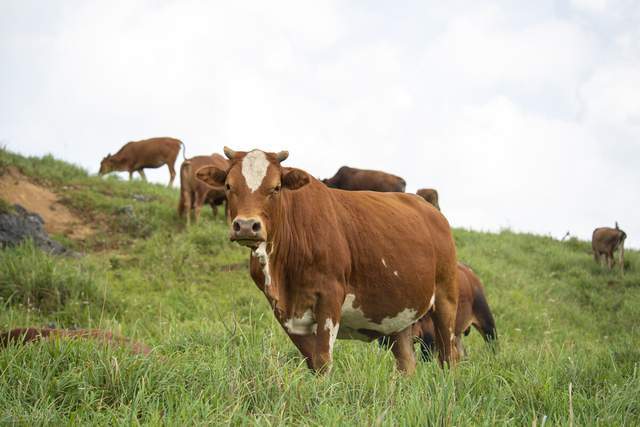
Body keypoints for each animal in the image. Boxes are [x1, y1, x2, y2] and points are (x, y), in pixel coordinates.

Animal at [196, 147, 460, 374]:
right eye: (228, 186)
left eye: (276, 187)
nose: (246, 226)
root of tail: (432, 211)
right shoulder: (284, 310)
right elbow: (312, 361)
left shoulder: (330, 296)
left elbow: (322, 360)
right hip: (400, 314)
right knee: (407, 363)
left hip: (446, 299)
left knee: (449, 356)